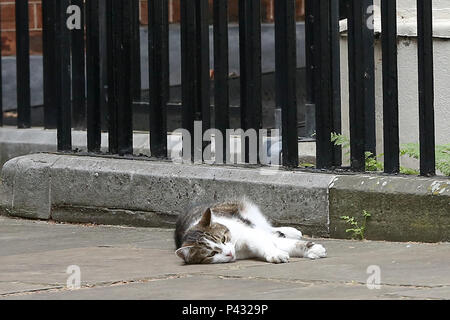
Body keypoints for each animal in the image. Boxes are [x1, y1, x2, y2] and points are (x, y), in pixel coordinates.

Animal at [174, 200, 326, 264]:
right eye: (212, 254)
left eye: (223, 239)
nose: (229, 253)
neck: (237, 248)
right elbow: (271, 244)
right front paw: (276, 253)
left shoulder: (249, 233)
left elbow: (274, 242)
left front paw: (313, 249)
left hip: (248, 214)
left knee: (266, 227)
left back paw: (291, 231)